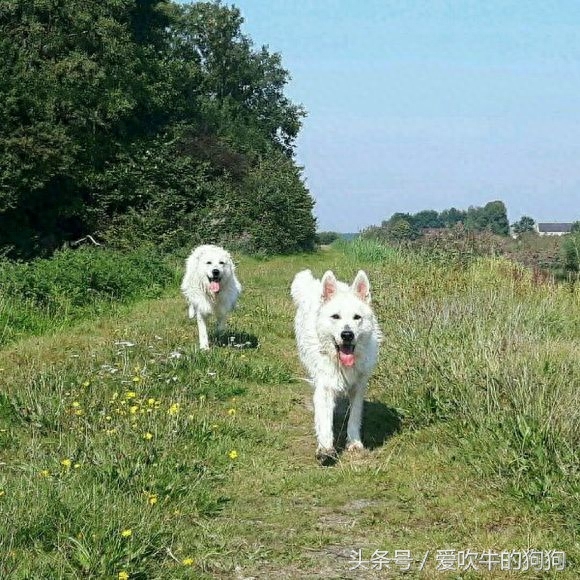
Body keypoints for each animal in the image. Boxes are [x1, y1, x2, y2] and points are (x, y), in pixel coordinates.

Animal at [290, 270, 380, 464]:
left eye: (357, 317)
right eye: (335, 317)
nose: (347, 335)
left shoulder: (359, 386)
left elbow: (354, 416)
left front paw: (354, 443)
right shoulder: (325, 386)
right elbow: (324, 420)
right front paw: (325, 448)